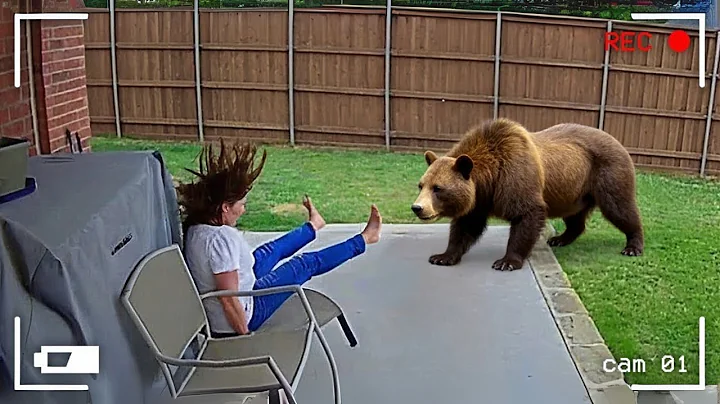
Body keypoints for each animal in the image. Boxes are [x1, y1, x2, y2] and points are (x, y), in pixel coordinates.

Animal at [411, 118, 644, 271]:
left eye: (438, 188)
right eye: (421, 185)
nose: (417, 208)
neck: (489, 179)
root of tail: (617, 141)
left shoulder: (516, 177)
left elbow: (526, 214)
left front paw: (506, 261)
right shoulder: (480, 200)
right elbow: (466, 226)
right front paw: (443, 256)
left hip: (608, 172)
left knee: (619, 208)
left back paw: (633, 246)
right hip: (574, 191)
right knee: (575, 218)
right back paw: (559, 238)